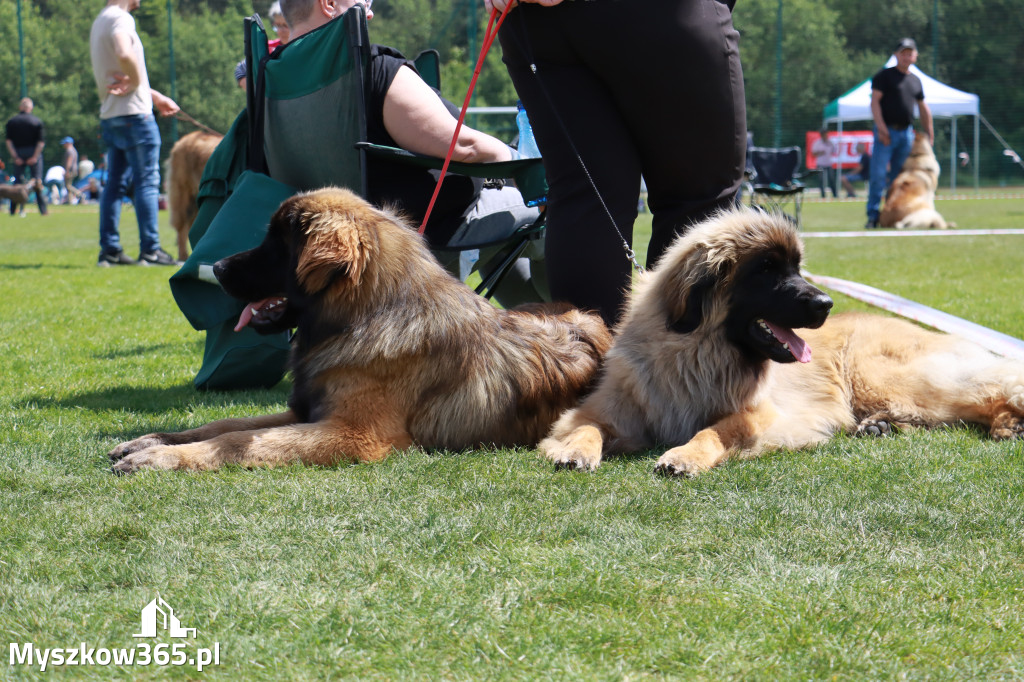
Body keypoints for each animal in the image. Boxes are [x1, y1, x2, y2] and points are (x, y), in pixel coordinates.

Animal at [110, 186, 614, 473]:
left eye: (276, 244)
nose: (215, 267)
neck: (363, 317)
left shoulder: (352, 434)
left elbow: (234, 442)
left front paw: (160, 459)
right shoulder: (304, 411)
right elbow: (222, 423)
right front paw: (152, 441)